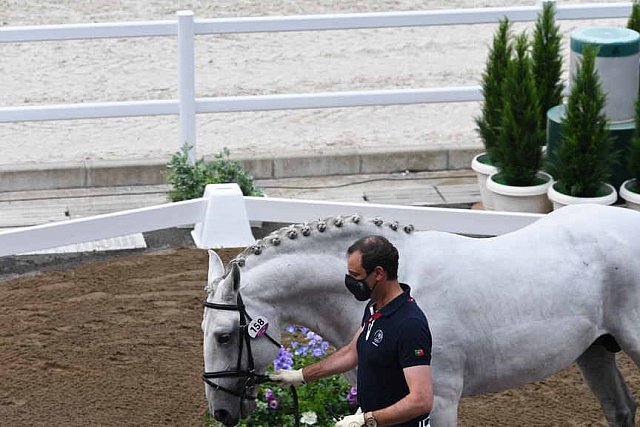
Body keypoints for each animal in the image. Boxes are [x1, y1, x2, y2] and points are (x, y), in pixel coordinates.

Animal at [202, 206, 640, 426]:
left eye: (224, 335)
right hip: (594, 351)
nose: (221, 412)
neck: (399, 292)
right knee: (620, 410)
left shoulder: (440, 400)